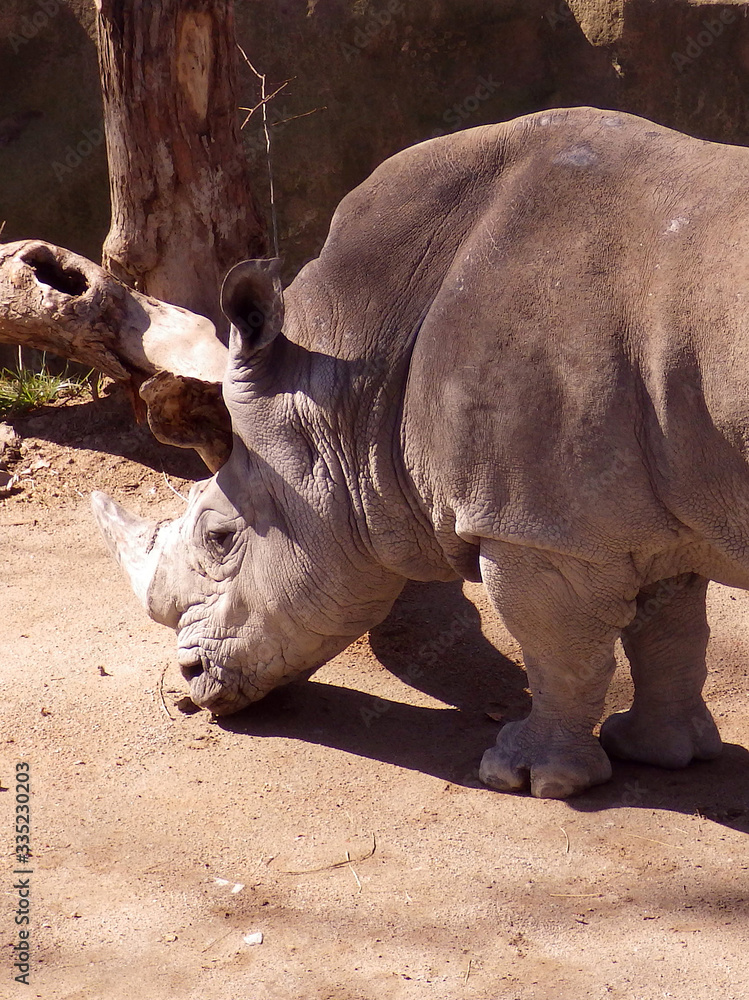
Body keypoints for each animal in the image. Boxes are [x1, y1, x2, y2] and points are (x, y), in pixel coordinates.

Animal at [93, 105, 749, 798]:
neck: (346, 387)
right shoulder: (653, 505)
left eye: (219, 538)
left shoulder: (539, 529)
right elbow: (671, 628)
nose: (190, 682)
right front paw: (661, 753)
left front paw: (530, 778)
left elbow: (556, 647)